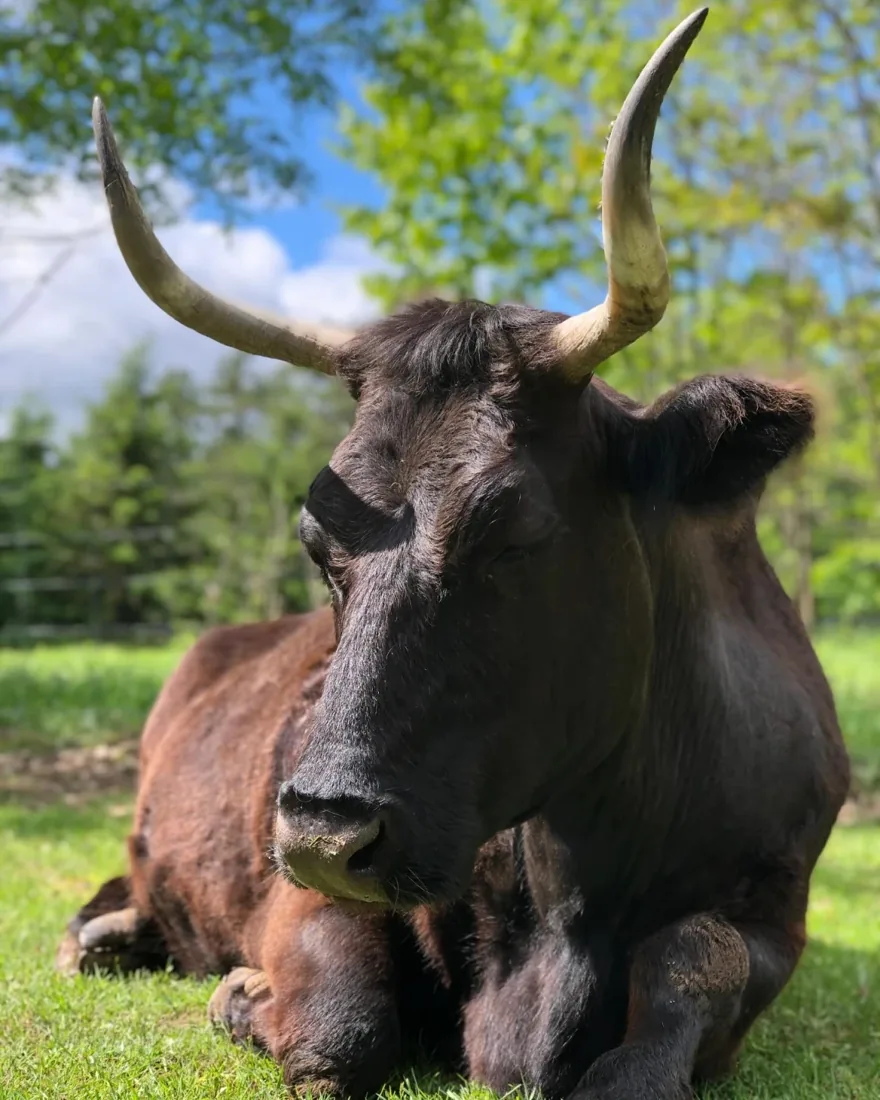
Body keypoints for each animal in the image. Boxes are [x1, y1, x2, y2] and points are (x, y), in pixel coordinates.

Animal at [57, 9, 850, 1100]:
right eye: (317, 543)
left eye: (510, 529)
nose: (324, 830)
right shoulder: (309, 897)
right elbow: (342, 1026)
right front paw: (242, 997)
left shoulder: (776, 905)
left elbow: (695, 961)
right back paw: (104, 930)